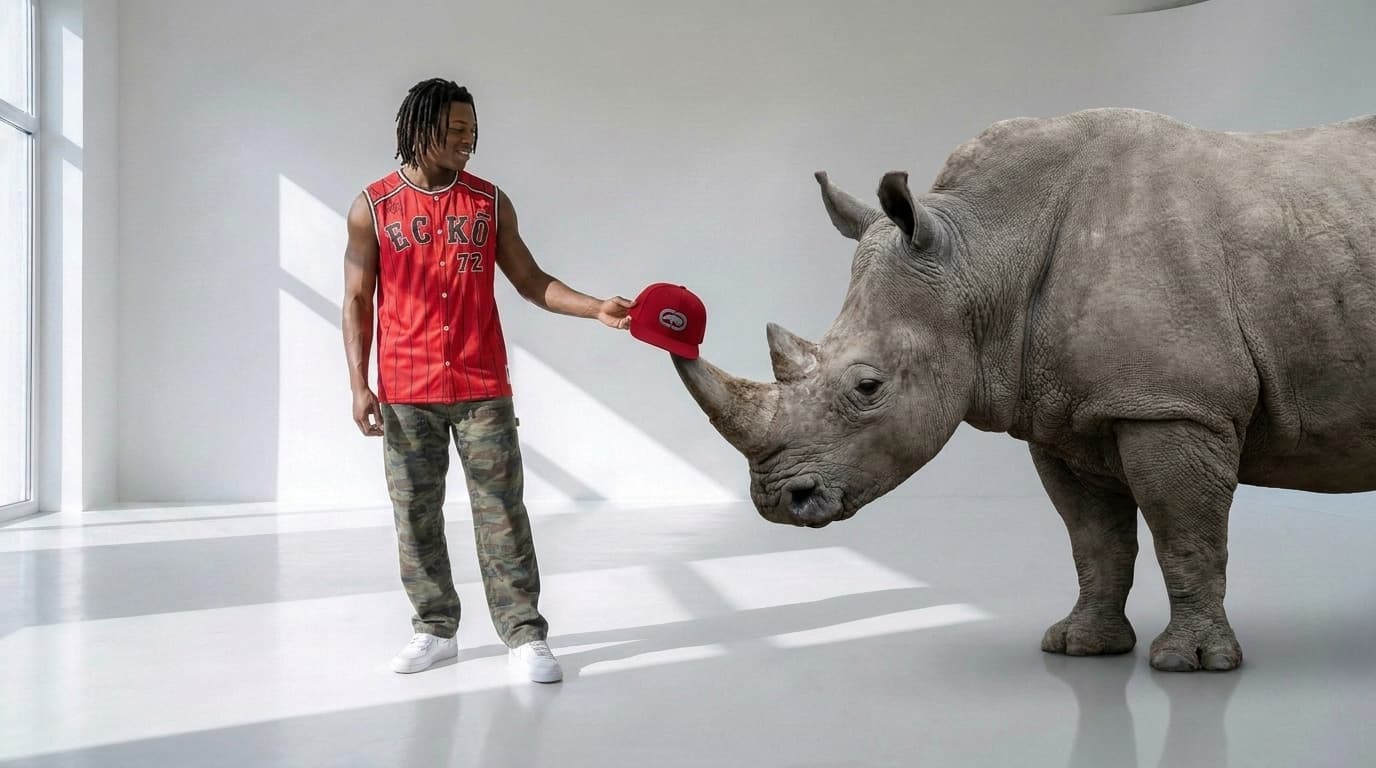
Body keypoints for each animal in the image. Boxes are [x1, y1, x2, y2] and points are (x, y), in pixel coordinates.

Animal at [674, 107, 1376, 672]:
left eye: (868, 387)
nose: (776, 501)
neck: (984, 250)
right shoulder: (1070, 416)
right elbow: (1094, 540)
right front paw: (1080, 647)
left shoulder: (1174, 405)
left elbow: (1185, 534)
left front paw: (1192, 664)